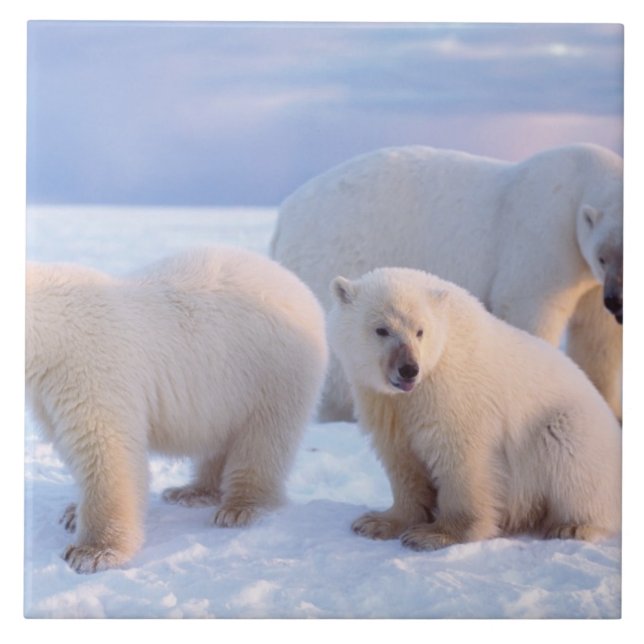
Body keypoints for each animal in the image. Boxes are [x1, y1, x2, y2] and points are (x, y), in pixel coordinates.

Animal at [25, 246, 328, 573]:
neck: (53, 331)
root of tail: (296, 285)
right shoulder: (48, 390)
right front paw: (72, 513)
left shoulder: (91, 370)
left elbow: (105, 451)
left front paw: (92, 552)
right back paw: (192, 491)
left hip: (273, 371)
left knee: (264, 438)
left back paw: (241, 508)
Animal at [271, 143, 623, 422]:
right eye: (603, 257)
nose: (617, 302)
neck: (580, 177)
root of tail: (285, 214)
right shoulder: (544, 236)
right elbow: (532, 310)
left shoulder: (588, 280)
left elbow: (599, 336)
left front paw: (607, 406)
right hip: (341, 250)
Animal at [327, 267, 621, 550]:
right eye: (382, 330)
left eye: (420, 331)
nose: (409, 369)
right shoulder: (384, 402)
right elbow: (402, 459)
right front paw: (377, 522)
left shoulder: (452, 393)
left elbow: (462, 460)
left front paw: (434, 535)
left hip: (572, 426)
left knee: (568, 455)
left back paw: (572, 526)